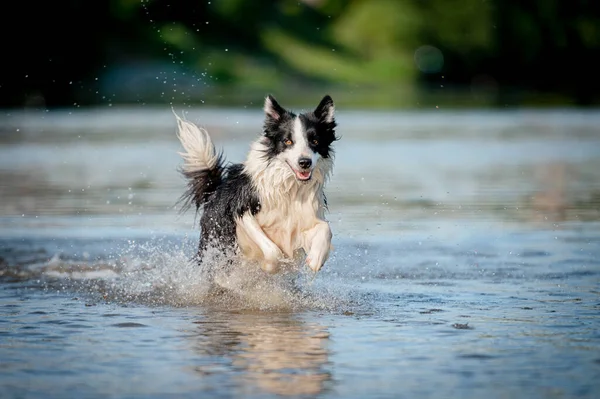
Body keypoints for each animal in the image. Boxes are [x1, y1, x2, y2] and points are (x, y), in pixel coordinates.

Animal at [176, 95, 340, 276]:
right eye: (288, 141)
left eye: (315, 141)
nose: (304, 162)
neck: (289, 188)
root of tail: (215, 190)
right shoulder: (242, 210)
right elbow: (272, 250)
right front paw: (270, 266)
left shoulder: (305, 218)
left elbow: (326, 228)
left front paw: (316, 259)